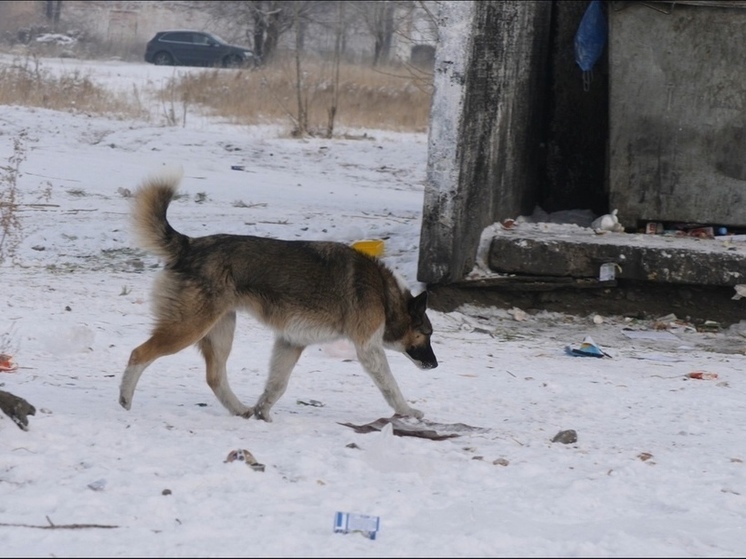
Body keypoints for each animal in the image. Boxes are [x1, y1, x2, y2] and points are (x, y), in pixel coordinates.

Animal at [117, 173, 436, 422]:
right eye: (426, 334)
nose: (435, 365)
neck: (384, 293)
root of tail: (190, 245)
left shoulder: (291, 342)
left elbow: (276, 385)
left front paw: (262, 411)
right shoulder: (368, 348)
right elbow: (391, 387)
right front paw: (409, 412)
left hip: (220, 331)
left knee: (215, 377)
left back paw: (240, 410)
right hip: (189, 327)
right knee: (139, 353)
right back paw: (125, 400)